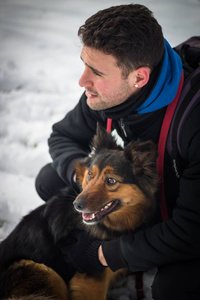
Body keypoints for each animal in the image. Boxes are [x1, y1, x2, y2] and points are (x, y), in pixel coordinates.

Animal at [0, 125, 159, 300]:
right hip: (45, 271)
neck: (105, 224)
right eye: (90, 175)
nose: (77, 205)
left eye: (111, 180)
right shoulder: (90, 281)